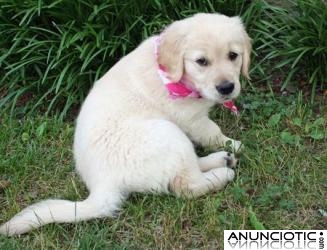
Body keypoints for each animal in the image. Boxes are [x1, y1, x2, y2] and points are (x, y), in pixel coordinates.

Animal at [0, 12, 252, 235]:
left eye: (233, 55)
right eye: (201, 61)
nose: (227, 87)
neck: (173, 75)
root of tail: (103, 184)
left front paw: (229, 147)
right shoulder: (192, 119)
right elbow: (212, 132)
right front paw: (233, 143)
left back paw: (222, 159)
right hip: (167, 133)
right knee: (186, 185)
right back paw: (223, 173)